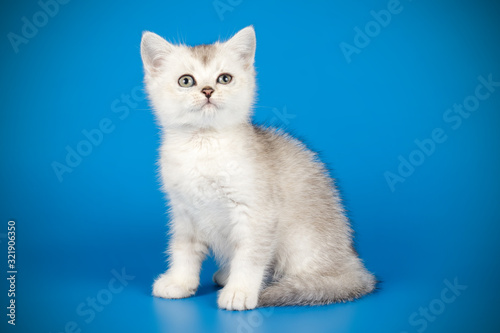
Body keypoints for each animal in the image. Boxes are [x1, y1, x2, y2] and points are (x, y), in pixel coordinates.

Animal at [141, 25, 376, 308]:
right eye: (186, 81)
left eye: (224, 79)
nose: (207, 91)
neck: (205, 145)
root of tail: (353, 262)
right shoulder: (184, 213)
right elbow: (183, 249)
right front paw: (179, 282)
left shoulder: (256, 213)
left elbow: (250, 256)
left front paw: (239, 292)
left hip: (300, 241)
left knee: (317, 278)